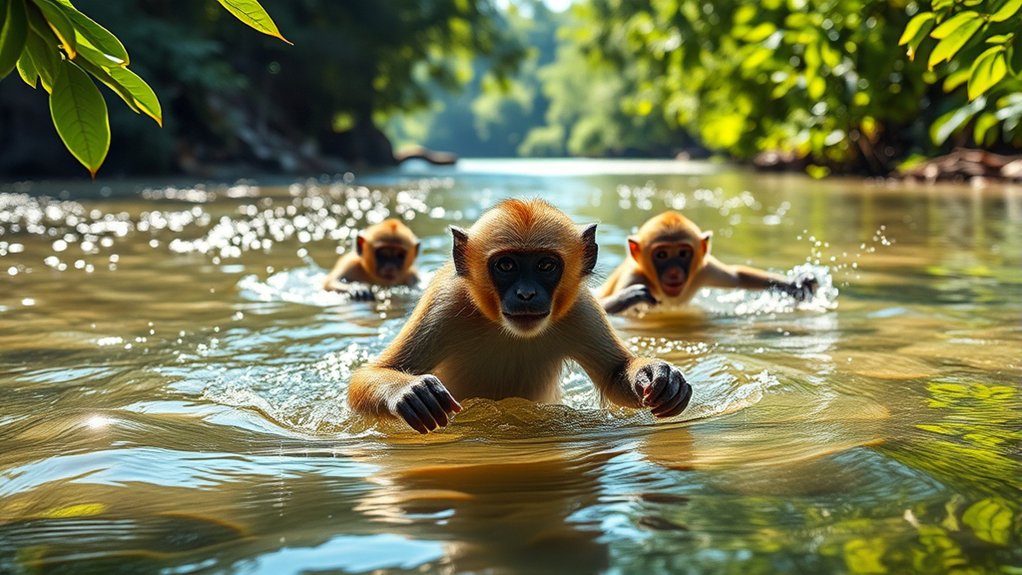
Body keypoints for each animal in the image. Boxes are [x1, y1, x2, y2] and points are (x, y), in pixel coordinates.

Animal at [347, 199, 693, 433]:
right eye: (507, 265)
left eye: (545, 265)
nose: (526, 294)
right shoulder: (444, 301)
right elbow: (375, 372)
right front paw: (409, 391)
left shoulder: (579, 309)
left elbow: (615, 375)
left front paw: (658, 376)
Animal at [598, 211, 817, 315]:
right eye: (661, 255)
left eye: (683, 254)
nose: (674, 272)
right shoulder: (632, 277)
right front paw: (630, 296)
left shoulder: (704, 270)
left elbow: (736, 276)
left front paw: (797, 284)